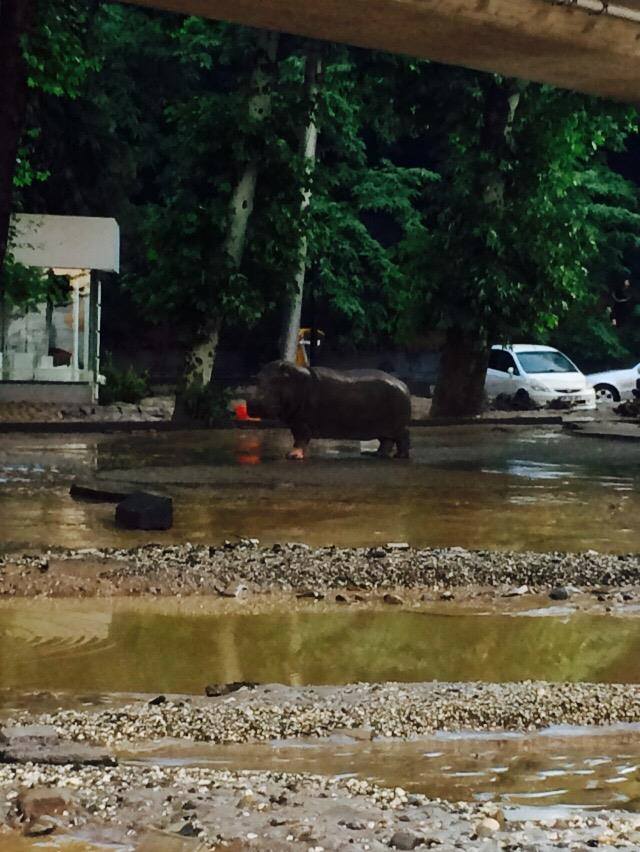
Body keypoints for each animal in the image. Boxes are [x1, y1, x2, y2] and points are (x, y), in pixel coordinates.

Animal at [247, 360, 411, 460]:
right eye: (257, 378)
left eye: (276, 380)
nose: (253, 403)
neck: (295, 381)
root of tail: (403, 385)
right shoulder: (295, 421)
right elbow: (298, 438)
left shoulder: (302, 422)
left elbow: (300, 439)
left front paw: (292, 455)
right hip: (384, 428)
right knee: (386, 442)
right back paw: (374, 454)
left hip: (397, 426)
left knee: (403, 437)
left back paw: (399, 456)